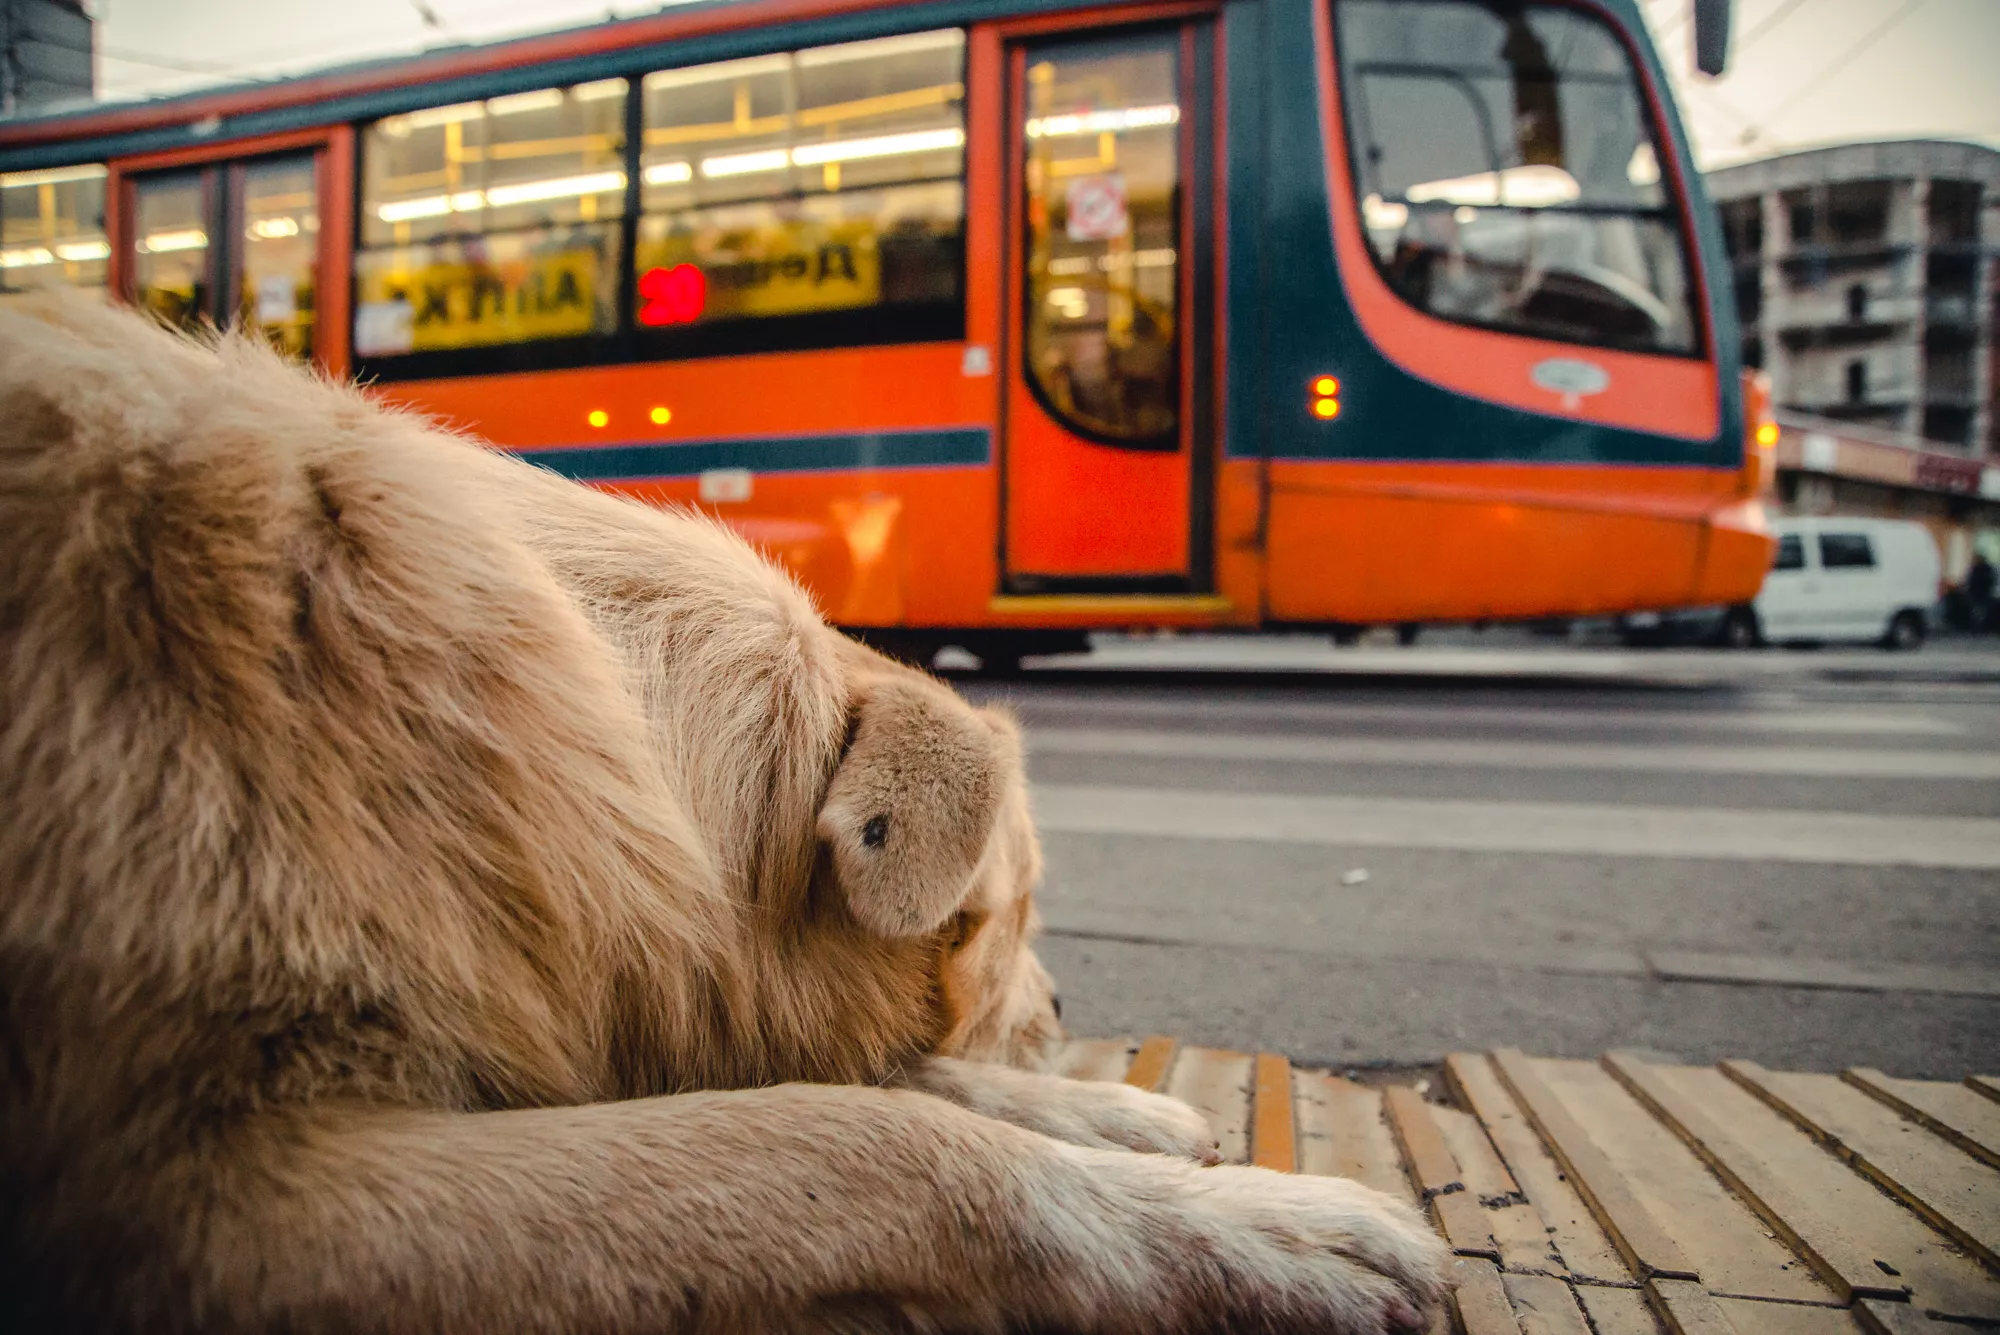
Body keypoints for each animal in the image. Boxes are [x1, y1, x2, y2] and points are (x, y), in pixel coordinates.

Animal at [0, 301, 1440, 1335]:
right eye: (1009, 916)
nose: (1066, 1010)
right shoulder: (230, 1204)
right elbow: (873, 1139)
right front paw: (1262, 1231)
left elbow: (871, 1076)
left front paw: (1126, 1124)